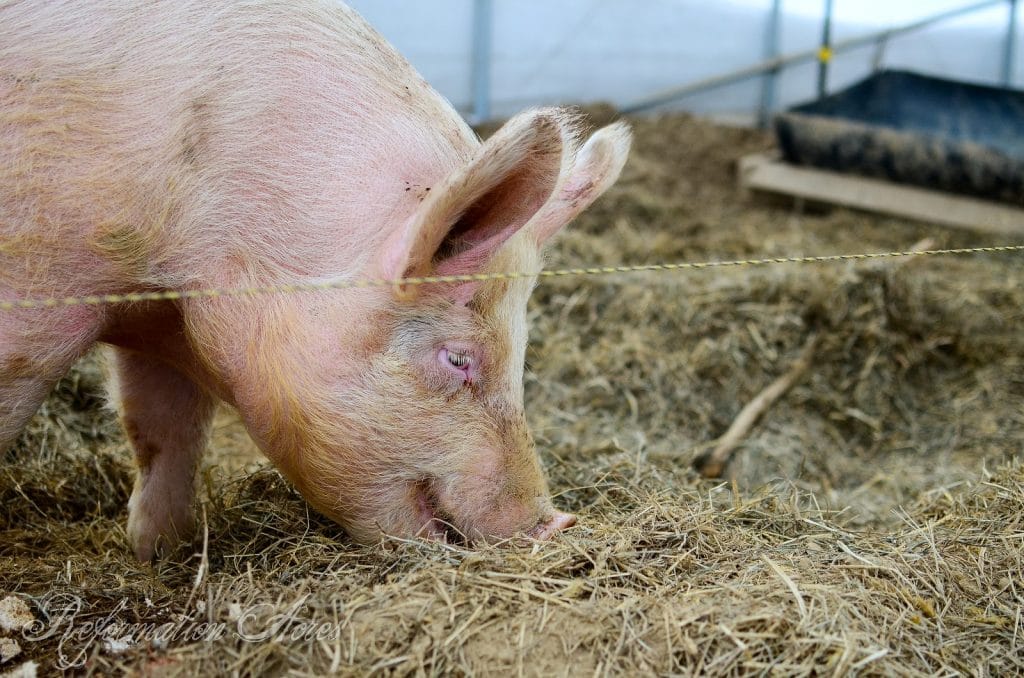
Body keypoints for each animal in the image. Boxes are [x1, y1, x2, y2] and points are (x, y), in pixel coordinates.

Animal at [0, 0, 630, 561]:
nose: (557, 522)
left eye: (523, 351)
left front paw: (158, 558)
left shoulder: (163, 319)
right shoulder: (36, 281)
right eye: (457, 358)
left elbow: (167, 428)